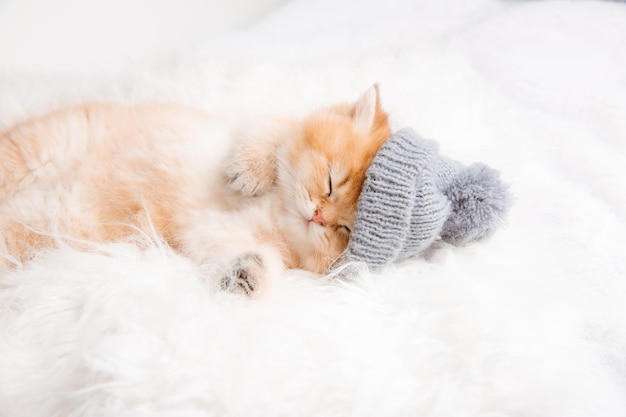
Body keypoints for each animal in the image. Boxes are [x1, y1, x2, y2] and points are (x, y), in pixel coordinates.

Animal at [0, 85, 390, 292]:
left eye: (344, 229)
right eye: (330, 182)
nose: (318, 216)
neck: (277, 210)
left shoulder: (211, 234)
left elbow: (262, 259)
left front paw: (247, 275)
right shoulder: (254, 123)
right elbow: (269, 133)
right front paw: (246, 173)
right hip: (36, 149)